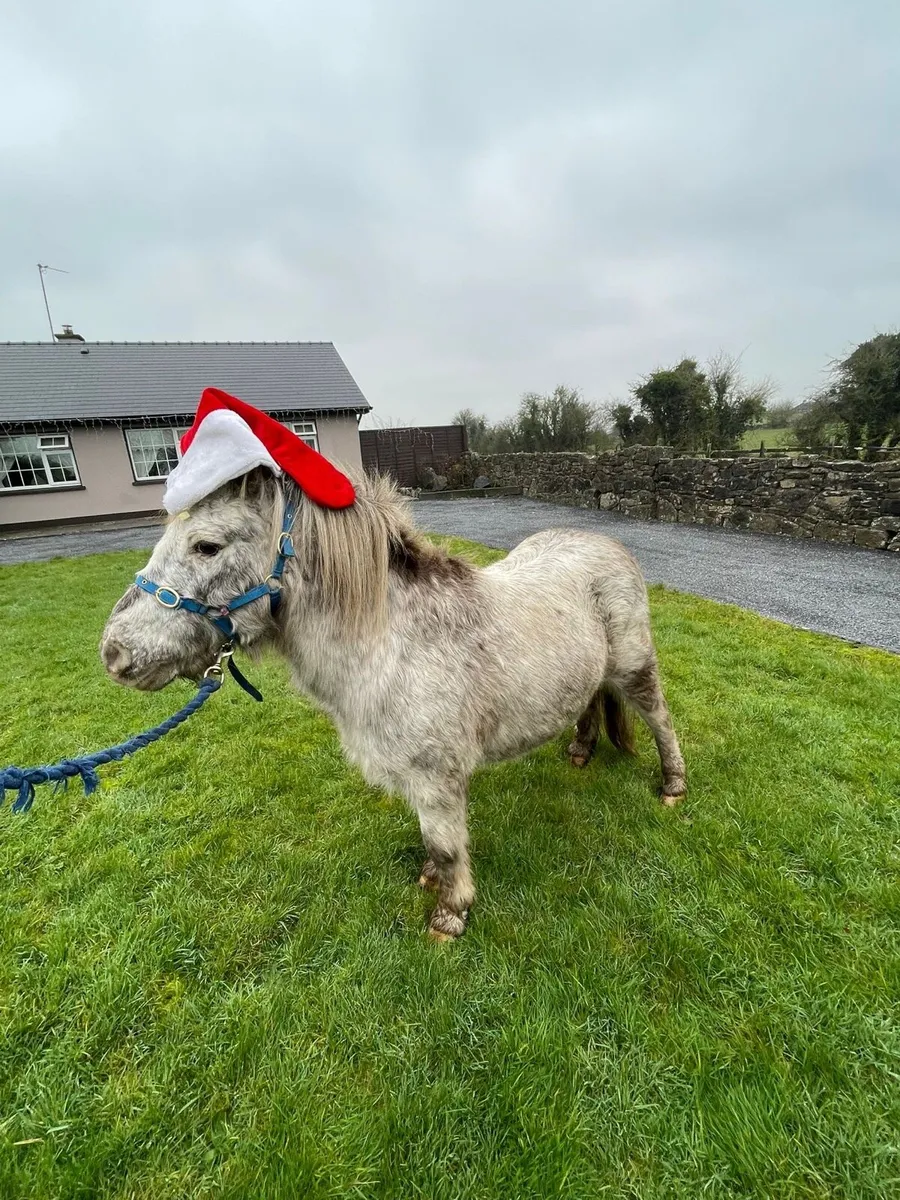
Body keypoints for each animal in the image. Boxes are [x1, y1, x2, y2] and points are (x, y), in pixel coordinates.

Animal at [101, 469, 686, 940]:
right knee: (590, 701)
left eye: (206, 546)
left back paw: (673, 786)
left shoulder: (437, 775)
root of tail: (604, 542)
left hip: (634, 666)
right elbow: (435, 840)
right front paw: (432, 879)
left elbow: (446, 843)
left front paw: (450, 916)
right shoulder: (417, 775)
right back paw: (581, 752)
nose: (114, 652)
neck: (393, 643)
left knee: (659, 718)